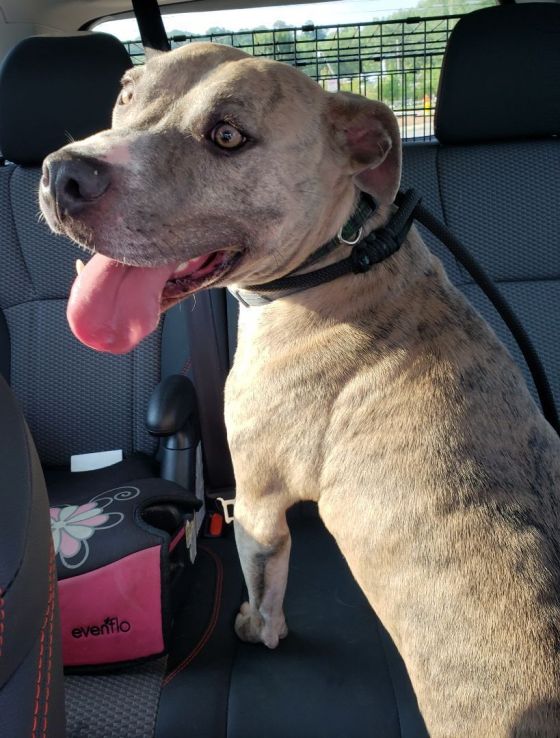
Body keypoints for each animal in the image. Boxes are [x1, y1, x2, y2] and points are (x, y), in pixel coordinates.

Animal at [40, 42, 560, 737]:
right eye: (126, 93)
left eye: (228, 136)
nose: (64, 174)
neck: (336, 264)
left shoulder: (259, 506)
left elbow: (266, 587)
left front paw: (257, 628)